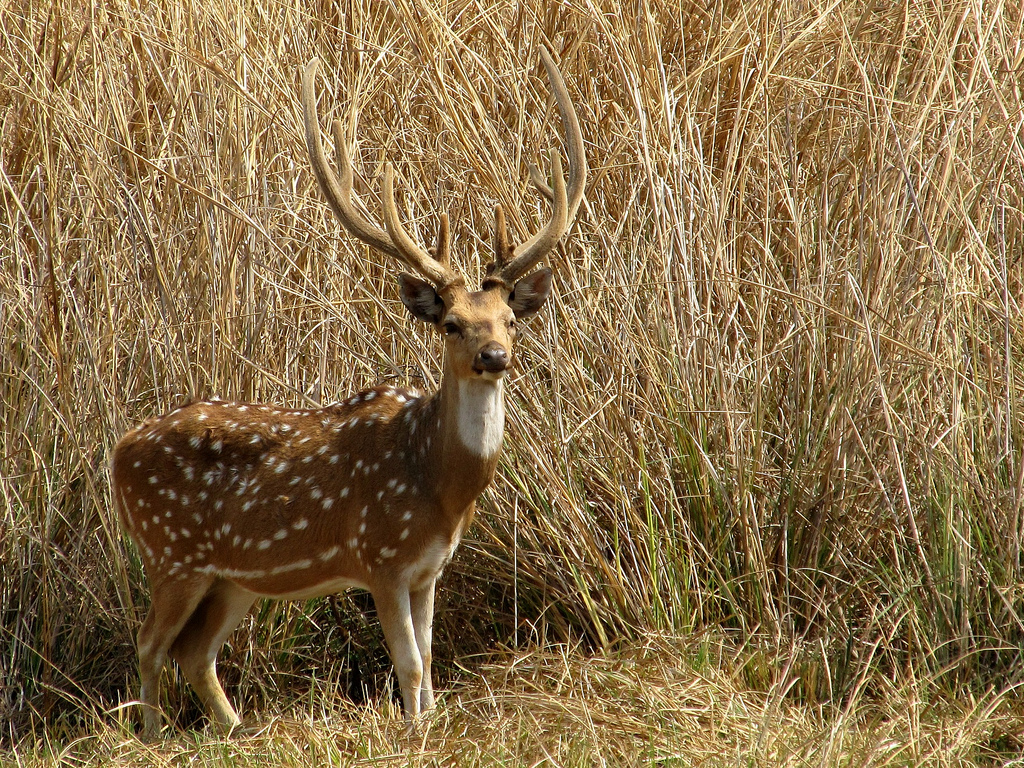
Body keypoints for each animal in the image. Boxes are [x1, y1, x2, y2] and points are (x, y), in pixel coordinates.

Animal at [111, 46, 585, 741]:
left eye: (509, 319)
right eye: (451, 323)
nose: (494, 357)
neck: (437, 484)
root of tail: (118, 450)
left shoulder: (427, 569)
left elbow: (429, 663)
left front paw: (429, 723)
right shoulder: (379, 556)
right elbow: (409, 664)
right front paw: (414, 734)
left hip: (234, 575)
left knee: (193, 651)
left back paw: (235, 732)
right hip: (169, 550)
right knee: (150, 644)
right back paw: (150, 735)